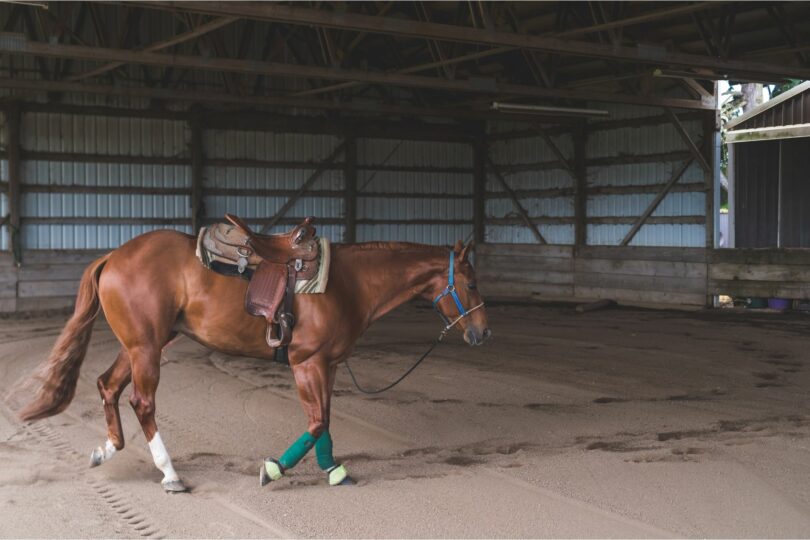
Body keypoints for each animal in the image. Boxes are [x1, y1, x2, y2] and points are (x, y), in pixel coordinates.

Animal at [18, 228, 490, 491]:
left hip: (139, 345)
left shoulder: (329, 364)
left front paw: (334, 470)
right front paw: (273, 469)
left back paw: (107, 450)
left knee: (108, 385)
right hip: (147, 349)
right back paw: (170, 475)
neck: (348, 283)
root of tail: (113, 256)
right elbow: (316, 423)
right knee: (142, 402)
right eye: (470, 283)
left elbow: (325, 423)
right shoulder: (306, 362)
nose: (483, 333)